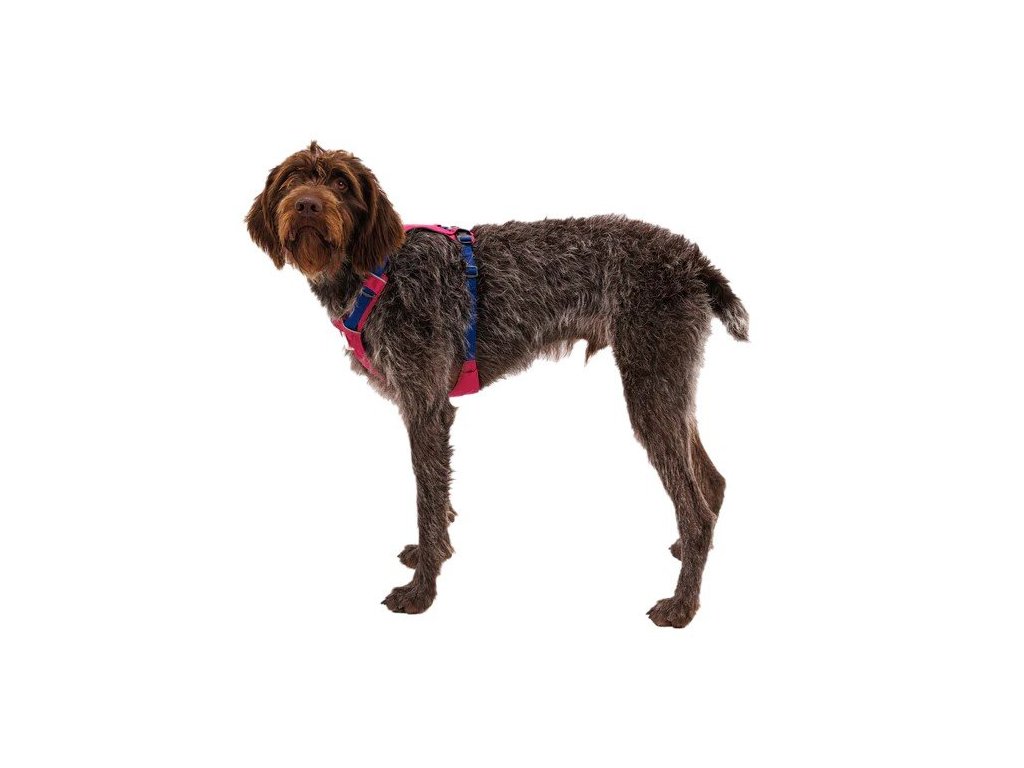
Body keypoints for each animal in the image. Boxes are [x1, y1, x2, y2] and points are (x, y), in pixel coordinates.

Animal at [246, 142, 748, 628]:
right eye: (292, 179)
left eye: (341, 183)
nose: (307, 204)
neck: (376, 272)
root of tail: (692, 259)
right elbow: (438, 502)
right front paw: (432, 554)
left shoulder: (425, 408)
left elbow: (427, 502)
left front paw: (421, 590)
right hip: (670, 385)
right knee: (713, 482)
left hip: (651, 387)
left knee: (696, 508)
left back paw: (682, 604)